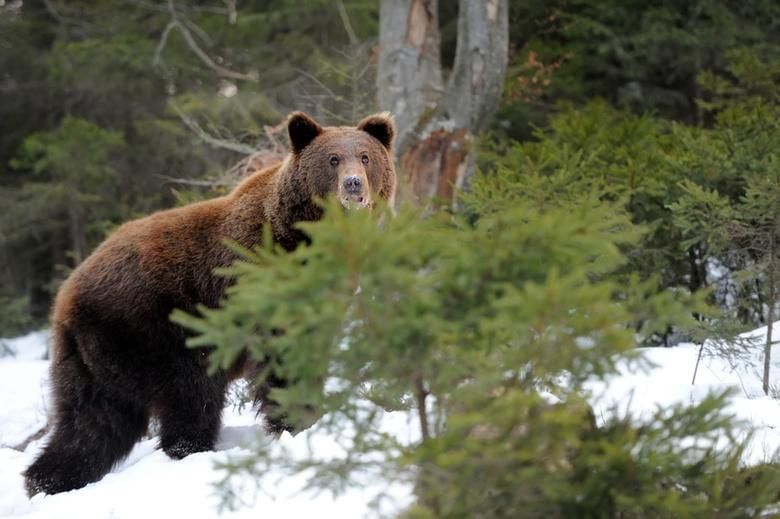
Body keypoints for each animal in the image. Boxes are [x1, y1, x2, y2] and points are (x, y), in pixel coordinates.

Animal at [22, 110, 396, 496]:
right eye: (332, 159)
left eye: (365, 156)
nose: (353, 185)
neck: (307, 237)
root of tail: (65, 295)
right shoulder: (258, 279)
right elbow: (280, 358)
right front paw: (297, 420)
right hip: (154, 330)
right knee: (189, 396)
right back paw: (190, 447)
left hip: (90, 359)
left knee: (91, 423)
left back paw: (46, 480)